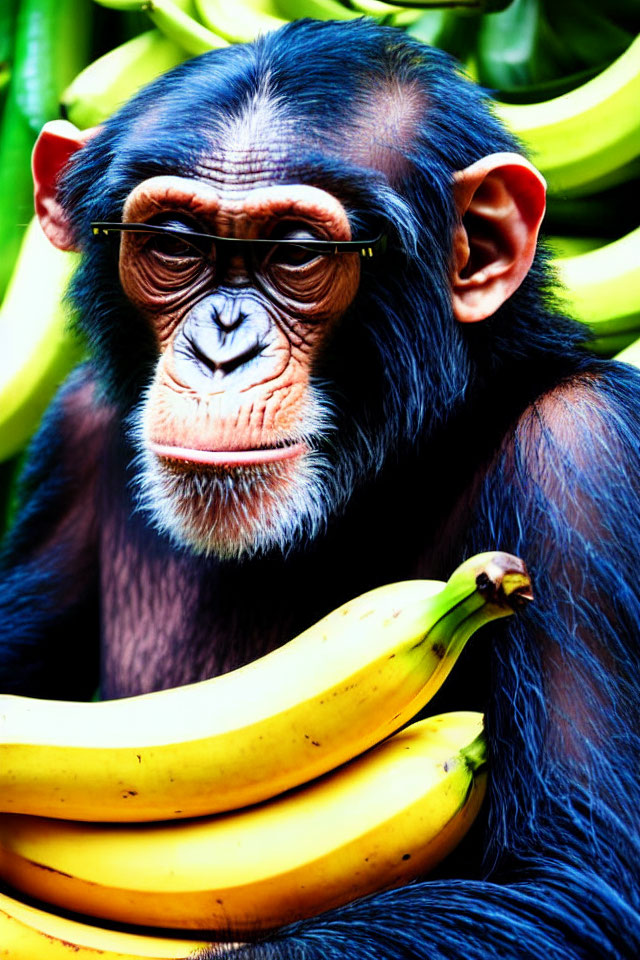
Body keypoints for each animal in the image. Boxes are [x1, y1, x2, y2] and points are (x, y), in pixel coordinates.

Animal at [1, 15, 640, 960]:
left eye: (295, 255)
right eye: (174, 246)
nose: (222, 346)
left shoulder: (589, 459)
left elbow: (570, 884)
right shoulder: (75, 429)